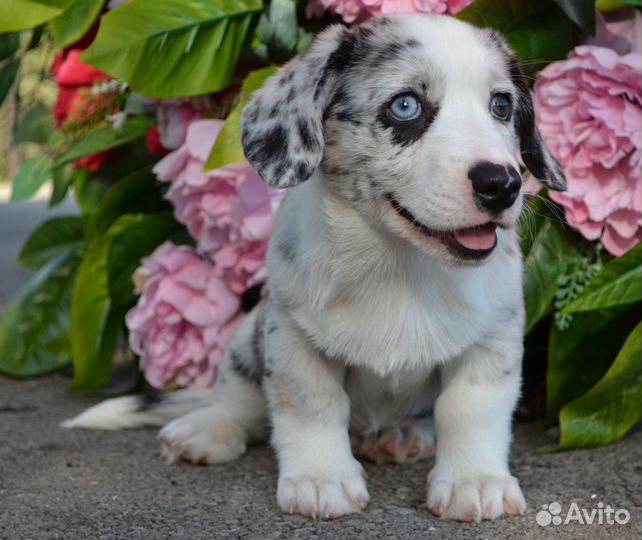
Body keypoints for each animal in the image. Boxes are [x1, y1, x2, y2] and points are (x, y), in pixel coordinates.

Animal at [65, 13, 564, 524]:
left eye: (501, 106)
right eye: (406, 105)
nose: (502, 184)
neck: (398, 264)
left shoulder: (493, 341)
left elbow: (470, 410)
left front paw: (474, 480)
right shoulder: (293, 337)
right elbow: (312, 407)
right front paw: (322, 479)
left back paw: (400, 436)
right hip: (246, 335)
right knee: (238, 399)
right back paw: (206, 429)